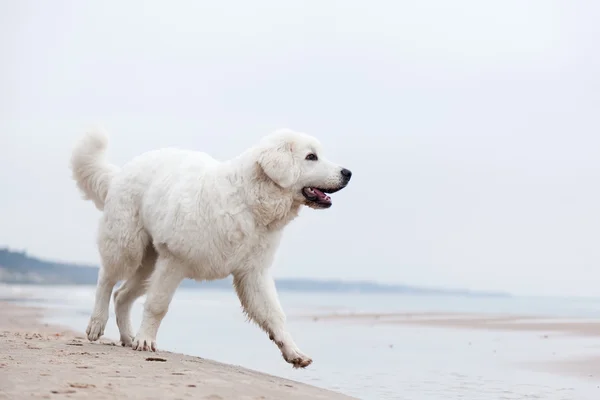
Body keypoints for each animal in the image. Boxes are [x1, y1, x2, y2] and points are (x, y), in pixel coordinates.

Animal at [69, 128, 352, 368]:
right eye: (311, 157)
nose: (348, 173)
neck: (248, 203)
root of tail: (120, 172)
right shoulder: (174, 262)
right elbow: (157, 306)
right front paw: (147, 339)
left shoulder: (253, 274)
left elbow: (274, 315)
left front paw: (294, 353)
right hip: (127, 249)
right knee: (106, 281)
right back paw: (97, 324)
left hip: (148, 266)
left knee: (122, 295)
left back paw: (128, 337)